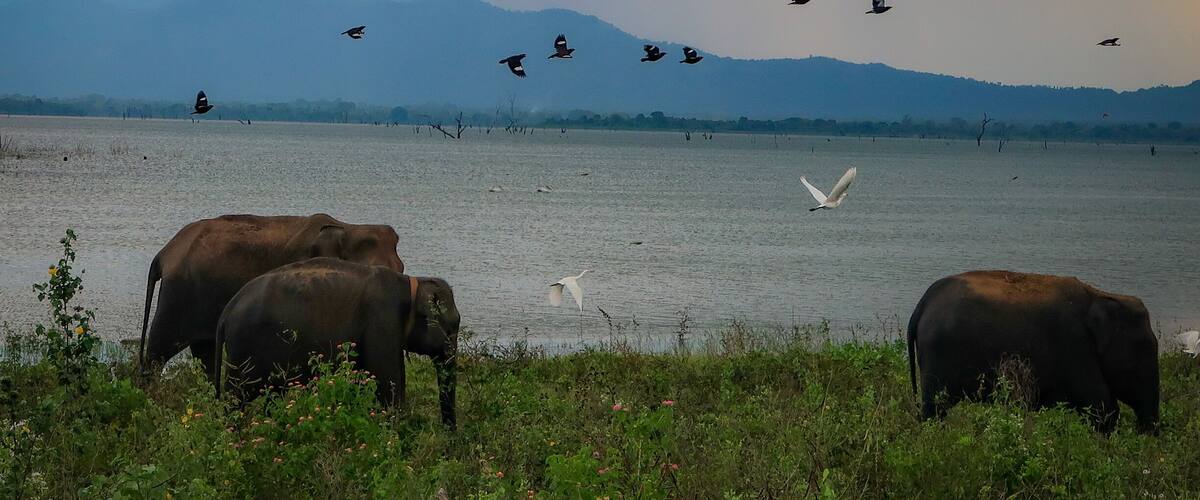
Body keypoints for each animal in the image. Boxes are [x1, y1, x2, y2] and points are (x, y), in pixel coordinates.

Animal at [139, 214, 405, 382]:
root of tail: (164, 254)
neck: (347, 227)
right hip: (178, 293)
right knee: (159, 350)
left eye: (401, 269)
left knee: (204, 353)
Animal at [213, 258, 460, 427]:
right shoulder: (381, 322)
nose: (449, 438)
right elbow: (386, 386)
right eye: (451, 327)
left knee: (272, 396)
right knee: (236, 398)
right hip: (243, 351)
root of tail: (227, 311)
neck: (410, 284)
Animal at [907, 270, 1159, 434]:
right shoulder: (1074, 347)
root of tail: (922, 303)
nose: (1146, 435)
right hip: (938, 355)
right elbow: (1101, 407)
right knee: (934, 409)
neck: (1100, 296)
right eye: (1145, 350)